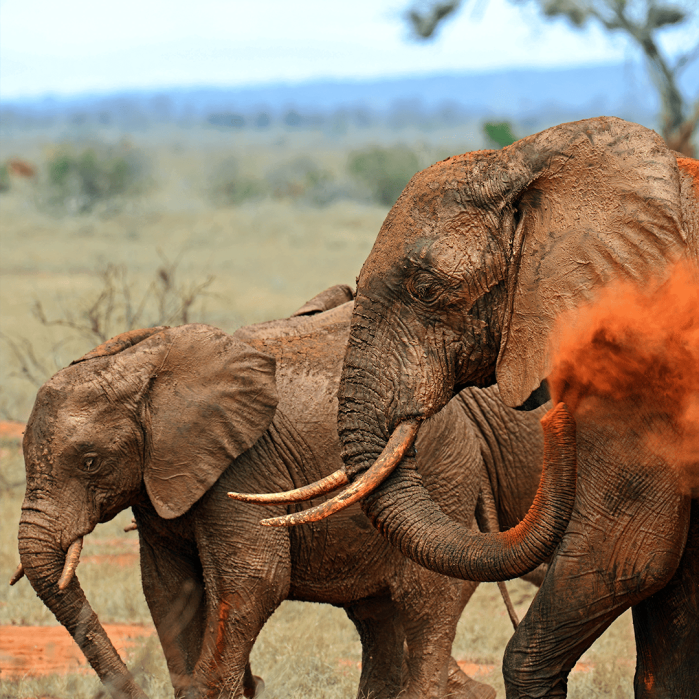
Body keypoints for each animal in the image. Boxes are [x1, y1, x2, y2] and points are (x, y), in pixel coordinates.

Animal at [13, 286, 572, 699]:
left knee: (423, 602)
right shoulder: (158, 484)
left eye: (90, 462)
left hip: (443, 472)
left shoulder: (242, 468)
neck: (144, 371)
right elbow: (169, 589)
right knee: (376, 615)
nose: (131, 689)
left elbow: (254, 580)